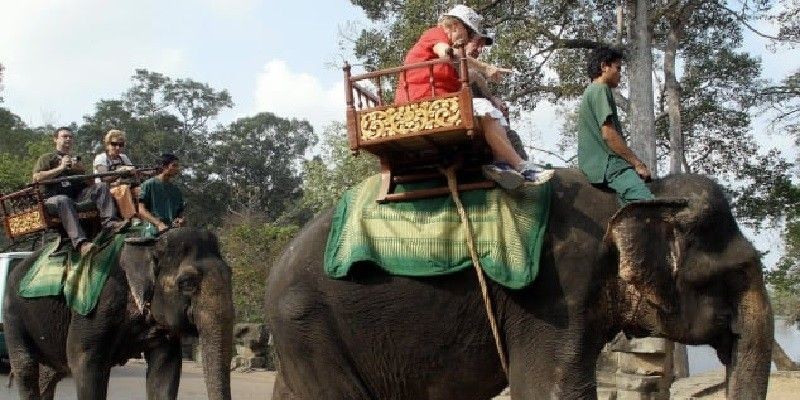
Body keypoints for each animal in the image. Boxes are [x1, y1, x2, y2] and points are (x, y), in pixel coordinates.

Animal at [3, 228, 234, 400]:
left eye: (230, 274)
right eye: (187, 283)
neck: (149, 243)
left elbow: (165, 367)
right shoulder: (99, 304)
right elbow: (83, 360)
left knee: (48, 376)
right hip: (12, 314)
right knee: (26, 368)